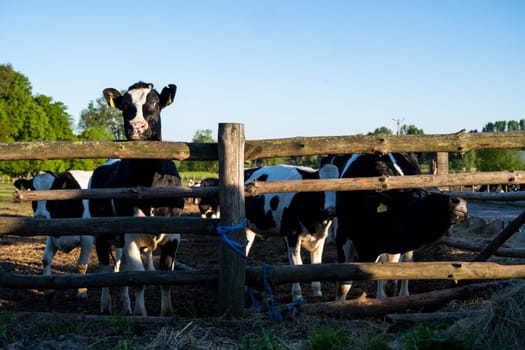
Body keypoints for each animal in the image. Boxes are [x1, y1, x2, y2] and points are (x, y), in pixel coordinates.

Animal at [13, 170, 93, 298]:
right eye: (32, 190)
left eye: (54, 191)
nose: (40, 217)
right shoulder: (52, 234)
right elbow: (46, 260)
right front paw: (48, 289)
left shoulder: (87, 237)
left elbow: (81, 265)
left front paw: (81, 292)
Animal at [91, 80, 185, 316]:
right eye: (125, 105)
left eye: (156, 103)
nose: (137, 127)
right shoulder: (130, 236)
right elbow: (138, 280)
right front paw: (142, 314)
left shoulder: (173, 236)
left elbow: (165, 278)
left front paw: (167, 313)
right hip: (101, 235)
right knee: (106, 269)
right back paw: (105, 305)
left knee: (121, 269)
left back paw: (125, 306)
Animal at [244, 164, 338, 300]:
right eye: (320, 188)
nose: (332, 210)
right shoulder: (291, 234)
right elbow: (296, 264)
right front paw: (297, 296)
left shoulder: (321, 237)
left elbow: (316, 263)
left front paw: (317, 293)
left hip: (248, 230)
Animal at [324, 153, 466, 300]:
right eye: (415, 196)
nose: (458, 201)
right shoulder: (342, 234)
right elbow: (343, 284)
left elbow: (390, 275)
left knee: (405, 262)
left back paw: (402, 294)